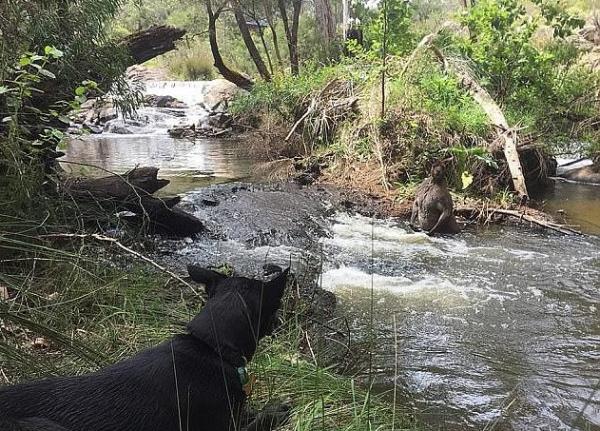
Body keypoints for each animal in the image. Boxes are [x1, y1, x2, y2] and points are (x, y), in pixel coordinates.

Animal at [0, 266, 290, 431]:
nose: (281, 322)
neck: (210, 346)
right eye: (276, 306)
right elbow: (259, 421)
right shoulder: (225, 426)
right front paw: (275, 413)